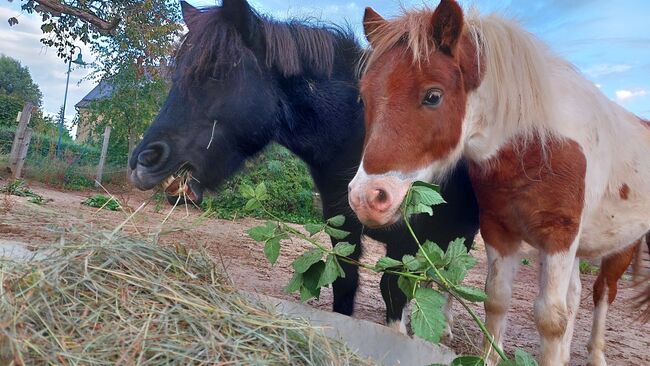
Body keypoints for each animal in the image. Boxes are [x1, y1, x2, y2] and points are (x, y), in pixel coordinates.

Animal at [130, 0, 476, 330]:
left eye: (216, 71)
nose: (143, 160)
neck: (358, 136)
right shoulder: (343, 232)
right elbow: (345, 287)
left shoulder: (404, 244)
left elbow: (394, 294)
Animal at [346, 1, 644, 364]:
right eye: (363, 98)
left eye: (433, 96)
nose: (366, 197)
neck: (539, 145)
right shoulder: (498, 231)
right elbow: (497, 300)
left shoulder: (559, 236)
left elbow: (550, 319)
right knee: (575, 297)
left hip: (621, 248)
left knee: (602, 294)